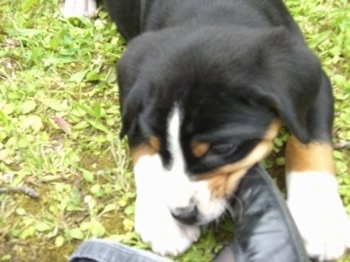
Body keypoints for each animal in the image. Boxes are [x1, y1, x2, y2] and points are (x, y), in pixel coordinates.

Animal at [62, 0, 350, 260]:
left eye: (223, 148)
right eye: (157, 145)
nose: (182, 214)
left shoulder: (317, 85)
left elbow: (310, 143)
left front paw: (319, 219)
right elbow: (145, 155)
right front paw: (164, 222)